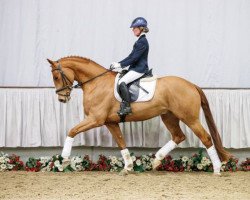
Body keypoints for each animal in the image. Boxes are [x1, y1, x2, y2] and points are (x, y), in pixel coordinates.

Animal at [47, 55, 231, 173]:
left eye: (56, 77)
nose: (62, 99)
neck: (96, 82)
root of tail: (192, 85)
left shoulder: (95, 119)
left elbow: (72, 131)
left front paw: (64, 159)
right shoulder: (110, 122)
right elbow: (121, 142)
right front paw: (128, 167)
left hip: (189, 118)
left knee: (206, 138)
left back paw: (216, 169)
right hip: (168, 116)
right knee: (178, 136)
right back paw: (156, 160)